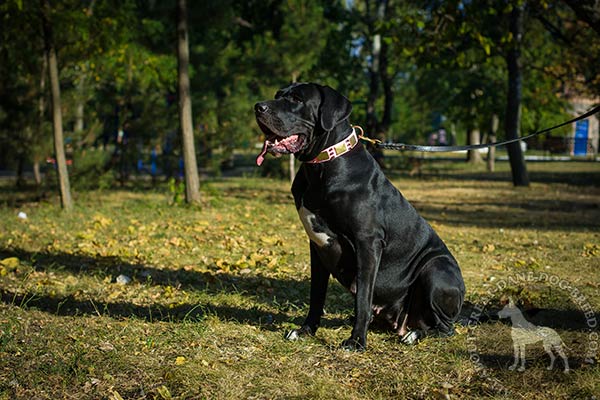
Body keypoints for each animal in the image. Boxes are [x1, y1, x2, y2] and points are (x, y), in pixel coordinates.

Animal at [253, 83, 464, 350]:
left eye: (297, 99)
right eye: (278, 95)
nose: (258, 107)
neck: (322, 165)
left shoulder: (367, 242)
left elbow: (363, 296)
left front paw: (356, 341)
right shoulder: (317, 246)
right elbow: (316, 294)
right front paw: (306, 330)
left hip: (436, 269)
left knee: (445, 327)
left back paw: (414, 335)